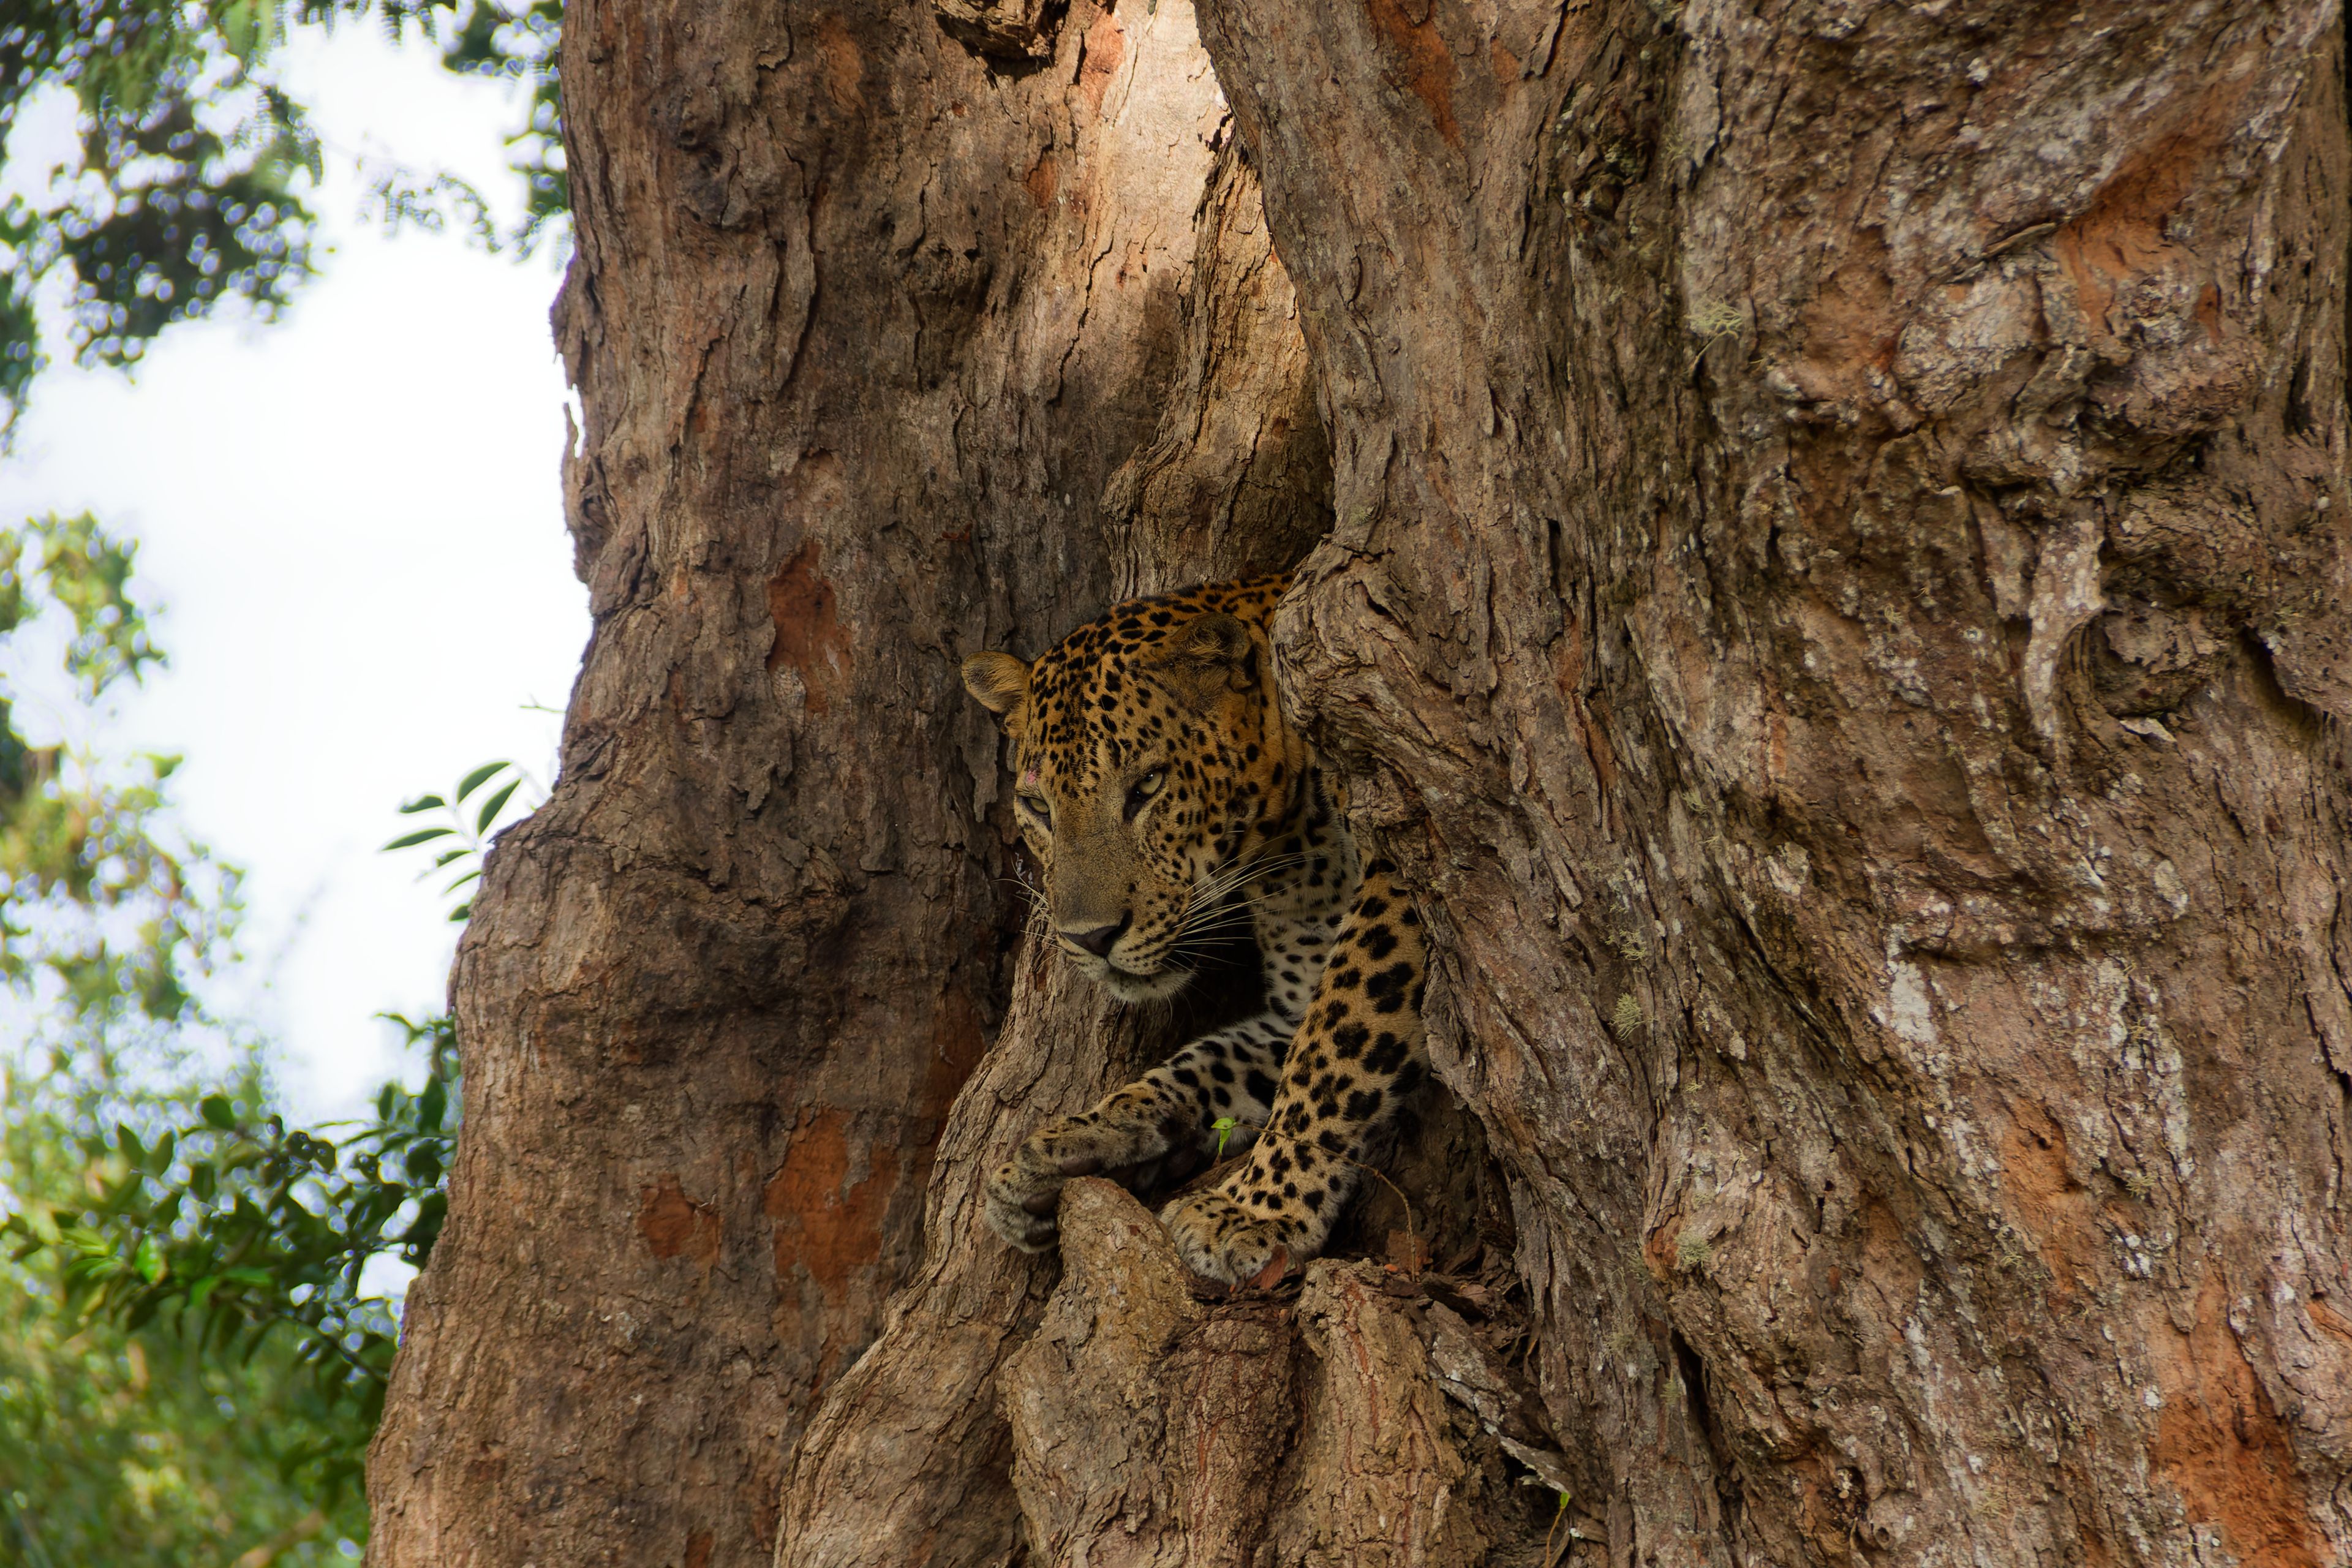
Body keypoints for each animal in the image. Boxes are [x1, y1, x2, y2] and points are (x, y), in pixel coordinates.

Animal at [961, 572, 1429, 1286]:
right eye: (1038, 805)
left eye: (1149, 785)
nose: (1091, 939)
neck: (1297, 846)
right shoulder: (1283, 1010)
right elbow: (1203, 1061)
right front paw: (1070, 1144)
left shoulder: (1401, 897)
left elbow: (1332, 1049)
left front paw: (1254, 1210)